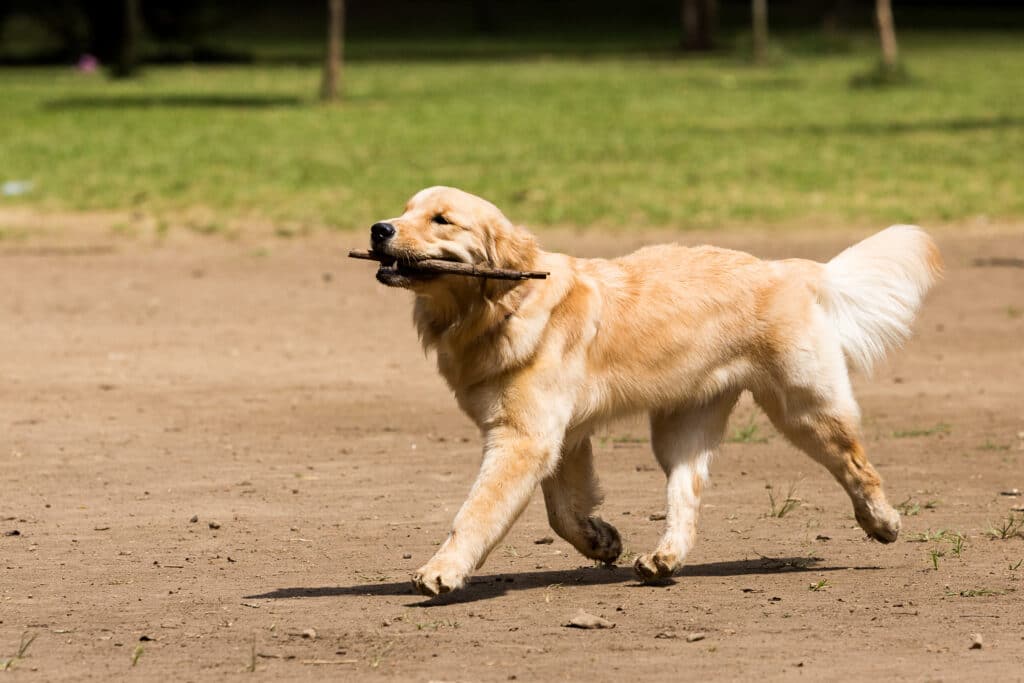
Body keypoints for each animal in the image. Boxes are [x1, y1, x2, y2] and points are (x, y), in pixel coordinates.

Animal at [368, 184, 942, 593]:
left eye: (441, 219)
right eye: (406, 209)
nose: (378, 228)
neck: (503, 306)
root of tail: (789, 268)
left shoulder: (524, 438)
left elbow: (478, 511)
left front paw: (443, 570)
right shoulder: (559, 437)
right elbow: (561, 511)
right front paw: (600, 541)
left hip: (804, 408)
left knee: (856, 464)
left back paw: (883, 521)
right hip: (680, 428)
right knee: (686, 493)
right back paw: (664, 559)